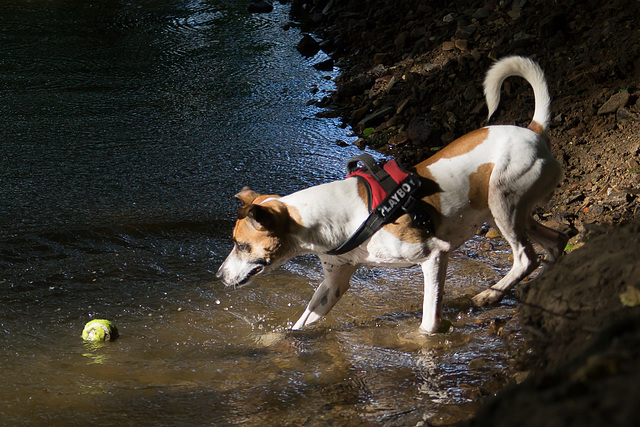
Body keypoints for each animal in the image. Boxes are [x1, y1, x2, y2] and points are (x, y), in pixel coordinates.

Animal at [218, 56, 568, 334]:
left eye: (240, 244)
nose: (219, 275)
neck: (338, 217)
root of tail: (535, 131)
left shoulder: (433, 256)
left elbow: (428, 323)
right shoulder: (334, 283)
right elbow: (300, 324)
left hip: (502, 203)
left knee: (526, 256)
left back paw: (491, 294)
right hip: (507, 213)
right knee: (556, 242)